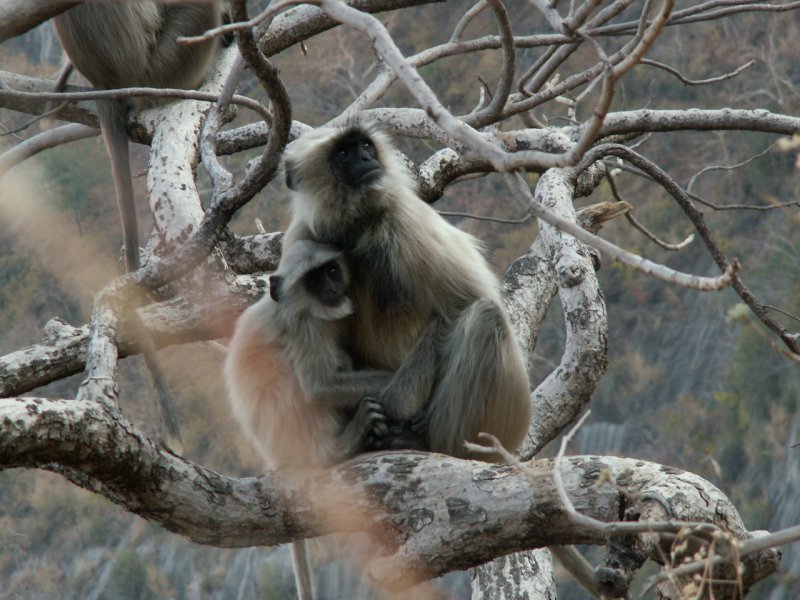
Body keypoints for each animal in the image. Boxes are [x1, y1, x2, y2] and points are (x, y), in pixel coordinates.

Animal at [282, 123, 532, 462]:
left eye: (365, 146)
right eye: (344, 153)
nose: (366, 158)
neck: (358, 225)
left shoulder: (406, 220)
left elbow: (464, 303)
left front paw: (393, 407)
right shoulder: (302, 236)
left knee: (485, 316)